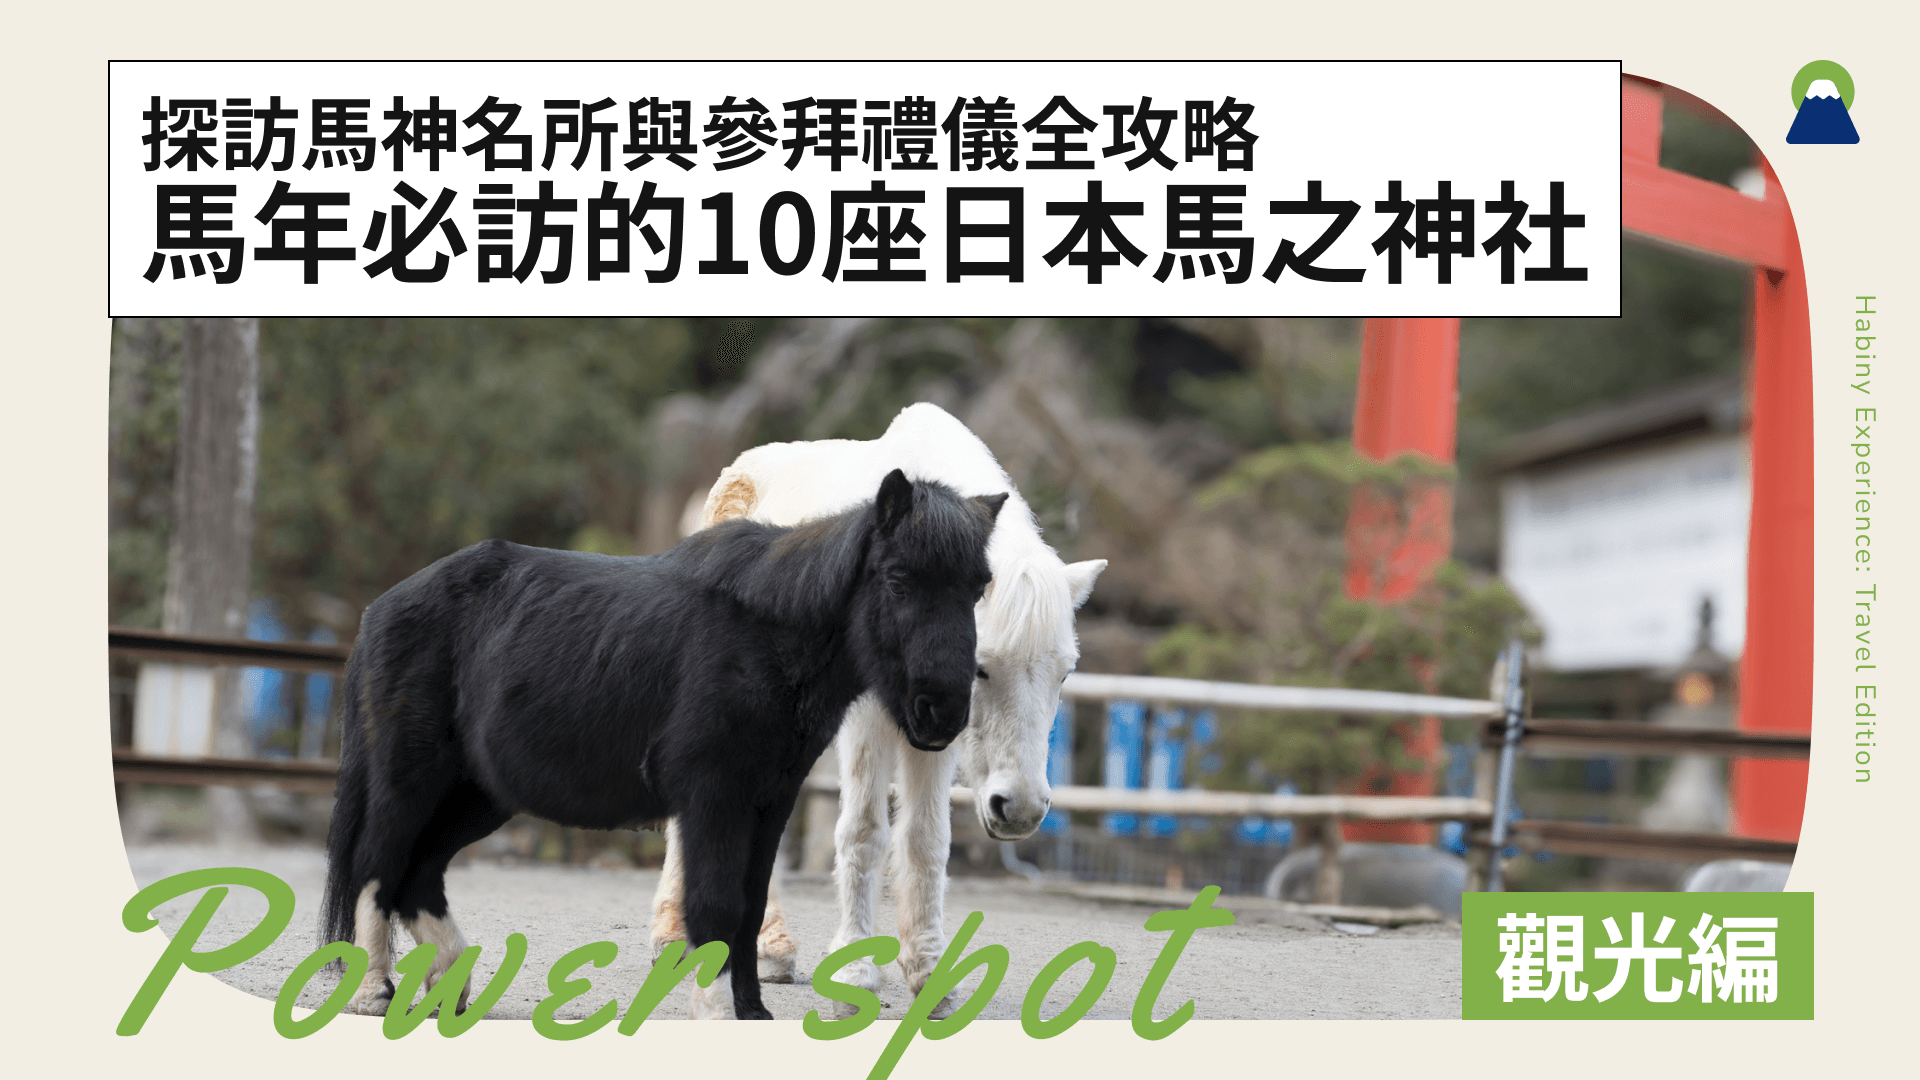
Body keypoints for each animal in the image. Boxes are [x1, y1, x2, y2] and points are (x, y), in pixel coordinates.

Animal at [320, 469, 1003, 1020]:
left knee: (418, 873)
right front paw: (718, 1013)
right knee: (377, 865)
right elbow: (714, 906)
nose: (941, 712)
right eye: (898, 579)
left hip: (479, 796)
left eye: (978, 588)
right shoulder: (712, 799)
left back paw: (448, 989)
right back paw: (373, 991)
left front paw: (752, 1012)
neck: (766, 635)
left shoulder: (769, 803)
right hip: (410, 780)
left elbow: (750, 907)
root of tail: (380, 610)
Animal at [649, 403, 1105, 1012]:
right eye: (982, 667)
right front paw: (855, 972)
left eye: (1064, 673)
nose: (1022, 809)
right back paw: (682, 940)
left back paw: (762, 949)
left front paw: (930, 973)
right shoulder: (869, 717)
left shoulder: (935, 736)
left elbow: (926, 840)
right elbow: (864, 831)